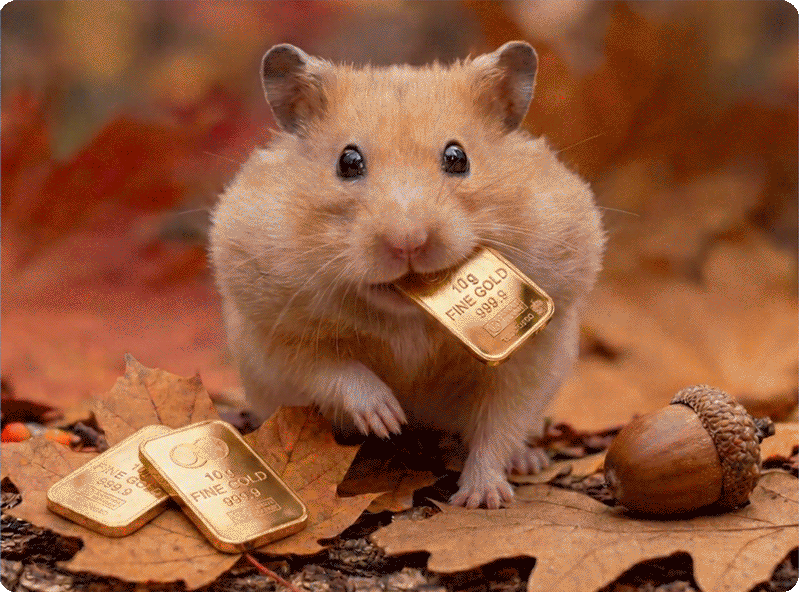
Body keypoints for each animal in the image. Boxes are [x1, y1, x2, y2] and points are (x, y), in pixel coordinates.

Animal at [209, 41, 605, 508]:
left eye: (457, 158)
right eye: (348, 161)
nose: (409, 242)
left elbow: (499, 425)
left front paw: (481, 498)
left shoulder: (532, 356)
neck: (408, 319)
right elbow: (329, 368)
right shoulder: (272, 335)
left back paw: (530, 461)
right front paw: (388, 418)